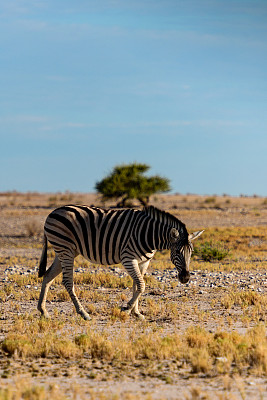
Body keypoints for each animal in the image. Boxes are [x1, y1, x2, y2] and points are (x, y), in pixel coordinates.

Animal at [37, 205, 204, 320]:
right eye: (177, 252)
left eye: (191, 253)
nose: (186, 278)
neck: (150, 236)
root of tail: (52, 212)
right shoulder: (128, 258)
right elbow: (141, 285)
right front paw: (127, 308)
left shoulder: (143, 262)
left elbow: (137, 285)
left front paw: (136, 313)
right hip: (66, 249)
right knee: (67, 281)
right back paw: (83, 313)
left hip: (64, 251)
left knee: (47, 276)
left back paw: (43, 311)